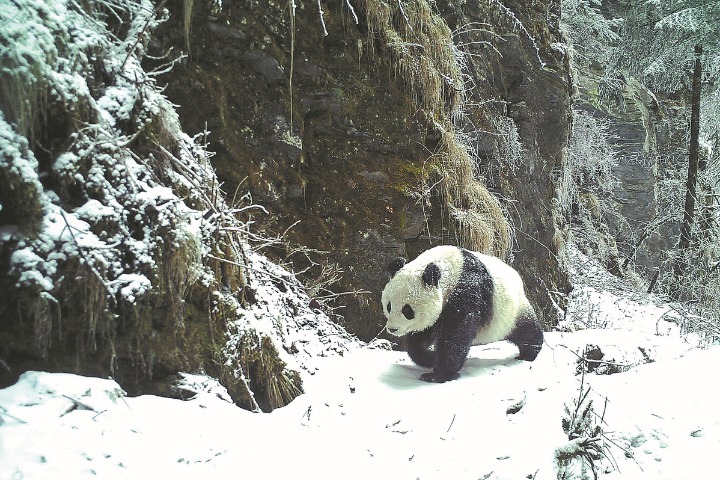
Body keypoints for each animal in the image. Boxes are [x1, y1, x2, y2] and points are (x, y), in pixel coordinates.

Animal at [382, 246, 540, 380]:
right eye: (389, 306)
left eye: (407, 310)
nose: (392, 329)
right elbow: (421, 336)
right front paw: (429, 358)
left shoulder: (466, 292)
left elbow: (455, 335)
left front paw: (437, 375)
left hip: (511, 311)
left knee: (526, 331)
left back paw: (530, 353)